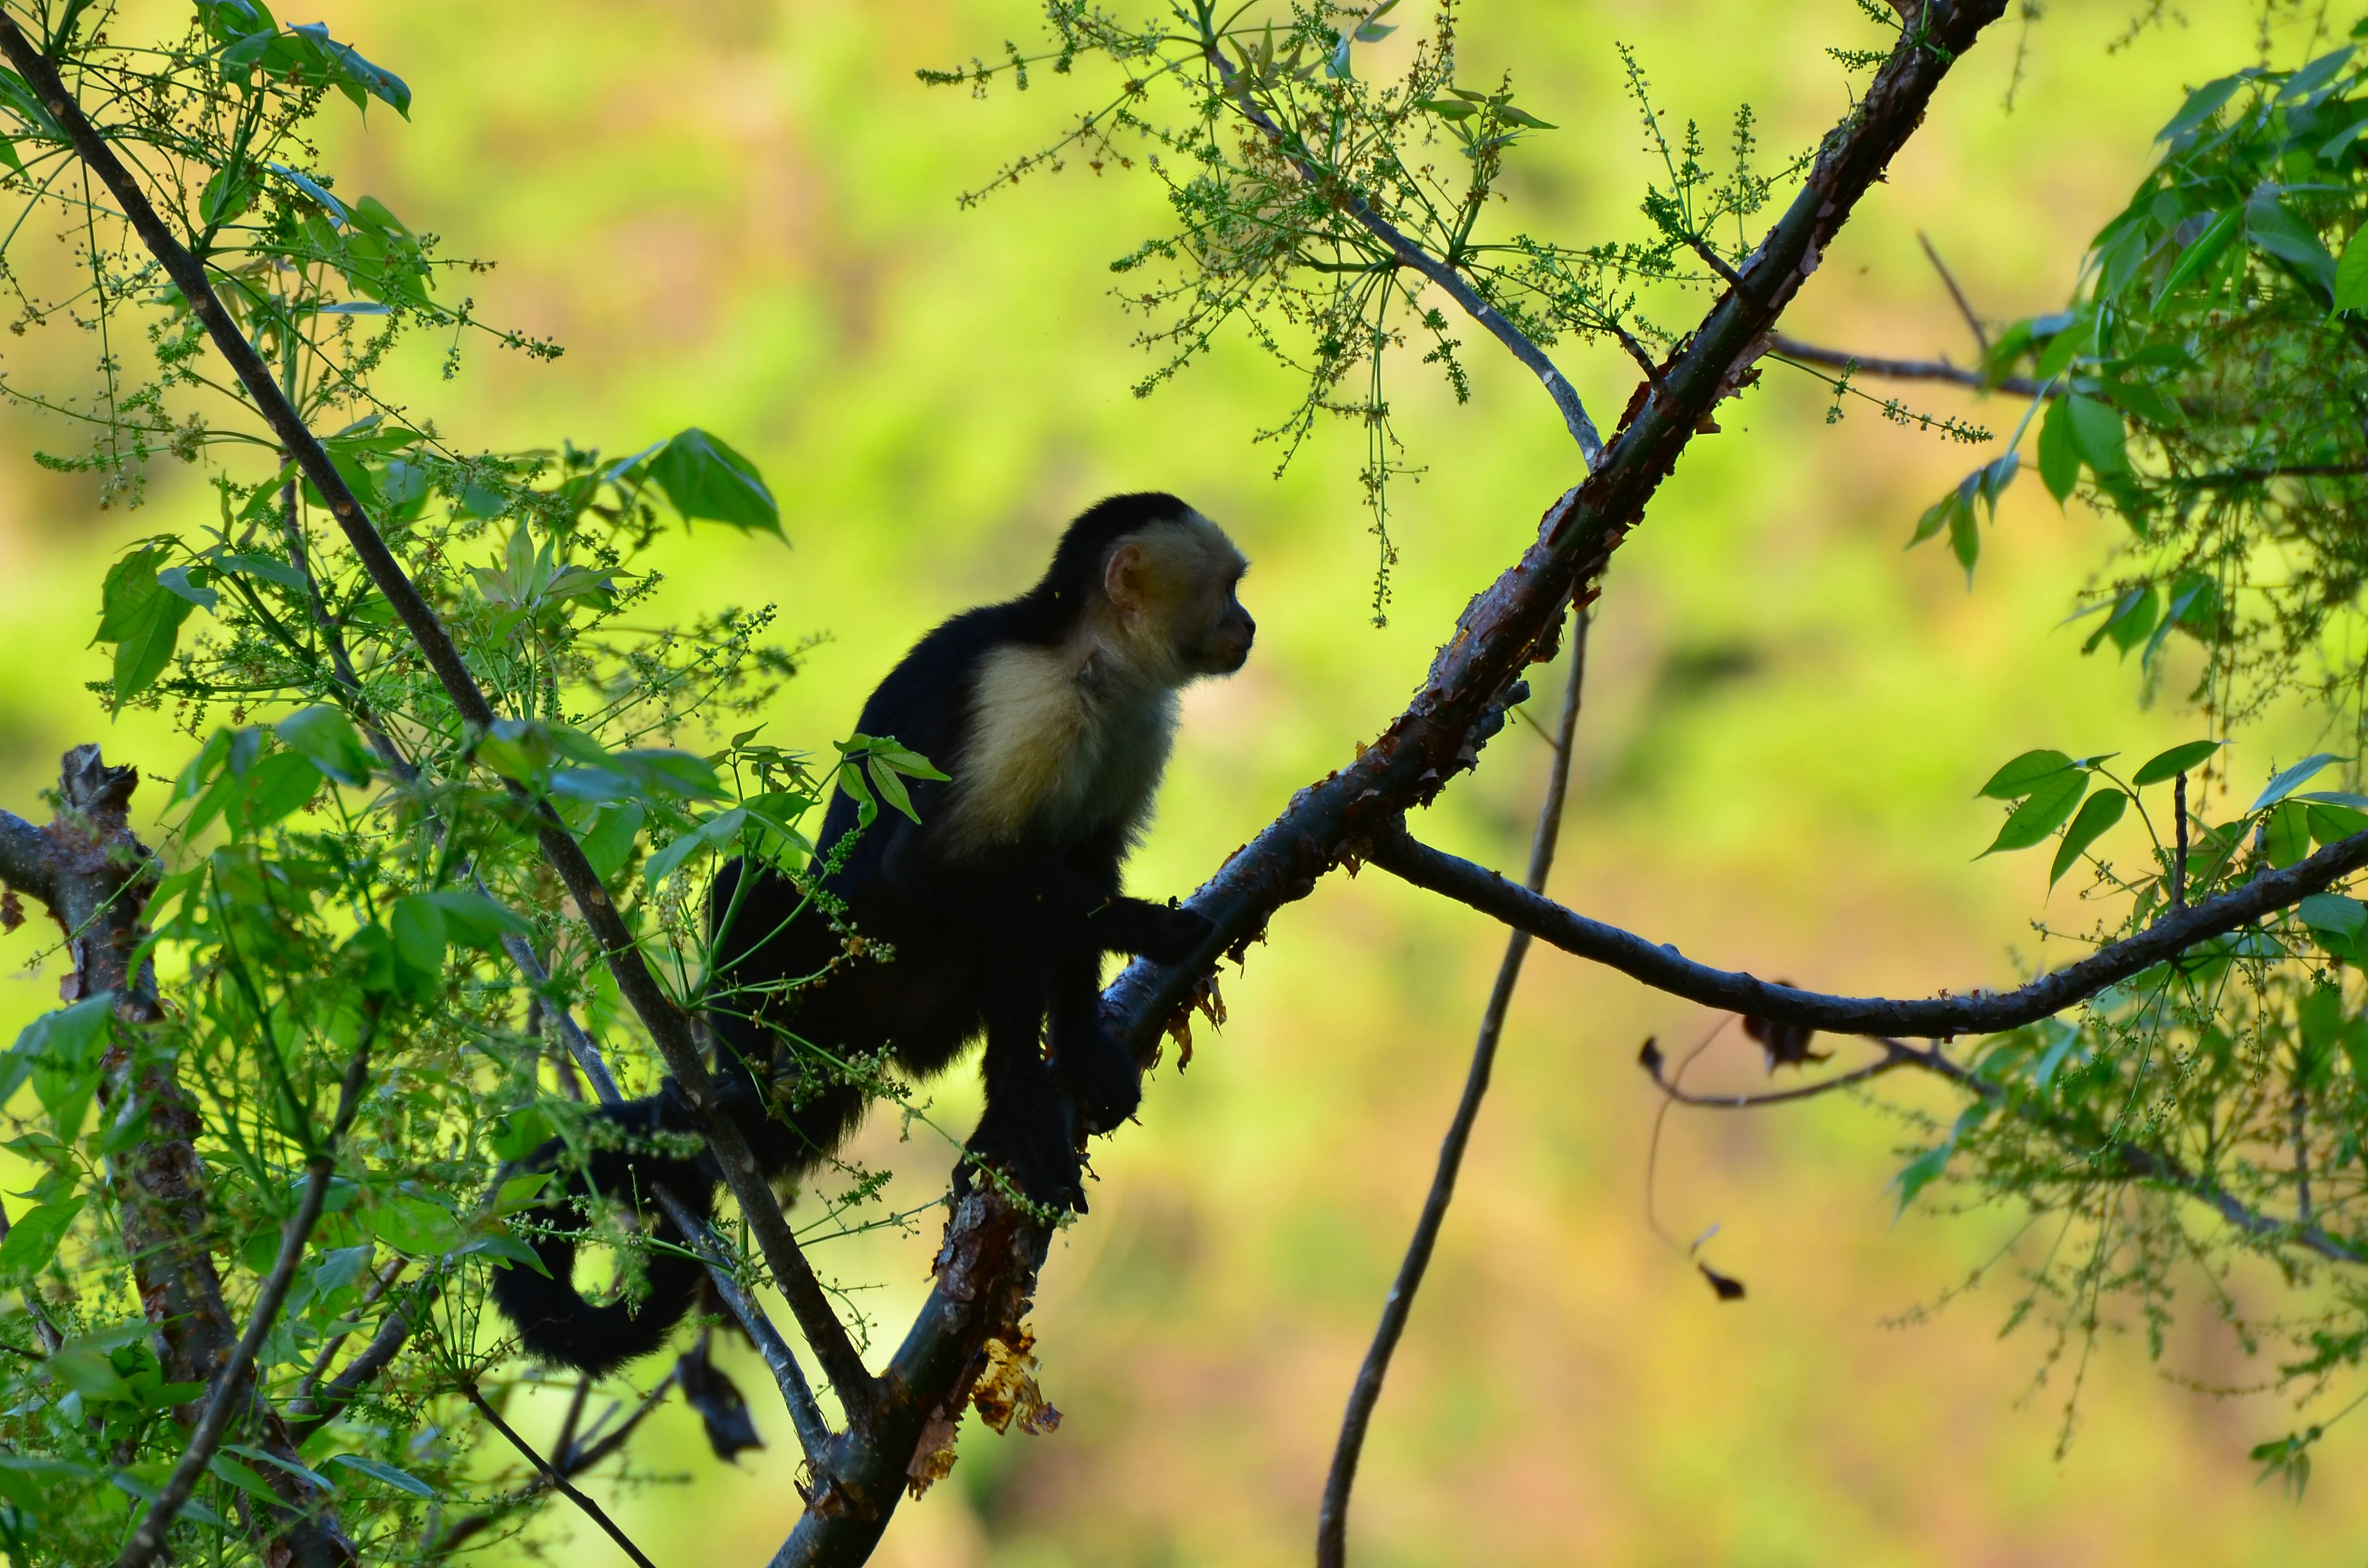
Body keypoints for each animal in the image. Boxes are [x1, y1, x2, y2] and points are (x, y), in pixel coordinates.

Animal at [499, 492, 1259, 1373]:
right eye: (1228, 587)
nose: (1247, 623)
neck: (1097, 665)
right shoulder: (1026, 696)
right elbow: (927, 861)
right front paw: (1155, 929)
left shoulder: (1138, 727)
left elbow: (1083, 874)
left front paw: (1082, 1048)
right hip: (831, 990)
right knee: (766, 885)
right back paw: (760, 1088)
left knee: (1014, 926)